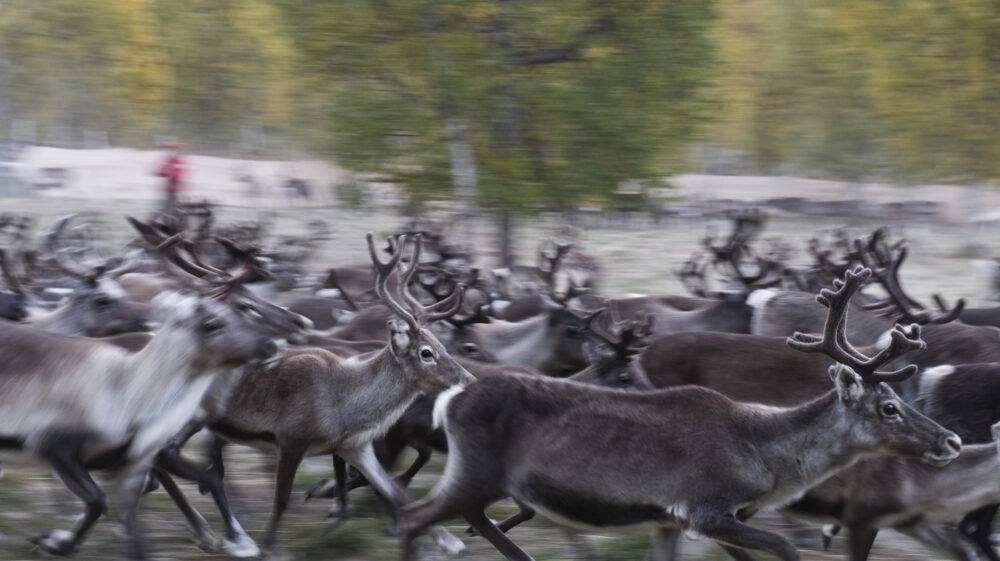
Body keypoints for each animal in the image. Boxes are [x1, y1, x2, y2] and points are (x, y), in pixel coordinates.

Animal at [0, 290, 281, 560]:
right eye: (211, 323)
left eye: (237, 312)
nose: (273, 344)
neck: (127, 393)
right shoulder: (52, 447)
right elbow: (98, 501)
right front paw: (54, 542)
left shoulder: (133, 466)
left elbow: (133, 535)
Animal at [399, 266, 962, 561]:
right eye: (889, 408)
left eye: (902, 400)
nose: (951, 441)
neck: (766, 458)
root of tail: (452, 397)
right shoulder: (707, 509)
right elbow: (785, 548)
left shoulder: (671, 518)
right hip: (476, 473)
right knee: (415, 516)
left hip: (480, 478)